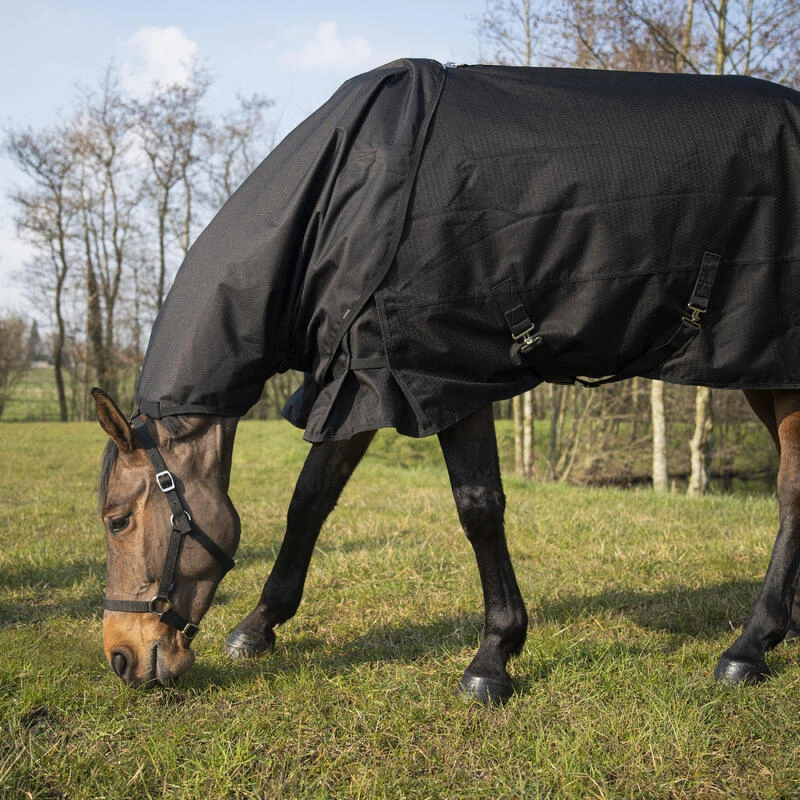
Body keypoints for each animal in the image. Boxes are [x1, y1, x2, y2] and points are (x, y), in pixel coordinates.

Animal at [94, 60, 800, 703]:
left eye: (117, 520)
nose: (121, 658)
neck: (344, 200)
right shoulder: (362, 376)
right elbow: (310, 500)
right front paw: (259, 626)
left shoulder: (446, 378)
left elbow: (478, 508)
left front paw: (494, 656)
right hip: (768, 375)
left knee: (790, 495)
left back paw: (749, 648)